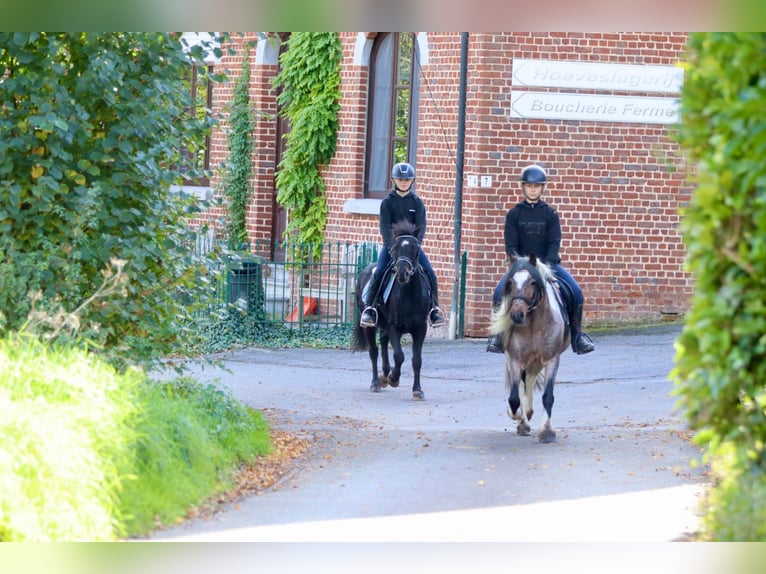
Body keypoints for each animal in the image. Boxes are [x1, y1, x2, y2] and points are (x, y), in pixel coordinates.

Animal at [492, 253, 568, 446]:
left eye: (533, 282)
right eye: (510, 282)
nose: (517, 314)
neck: (533, 323)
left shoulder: (551, 359)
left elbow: (548, 396)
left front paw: (547, 432)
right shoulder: (514, 359)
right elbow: (513, 399)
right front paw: (518, 417)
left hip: (536, 360)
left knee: (530, 378)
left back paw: (529, 411)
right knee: (522, 383)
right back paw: (524, 420)